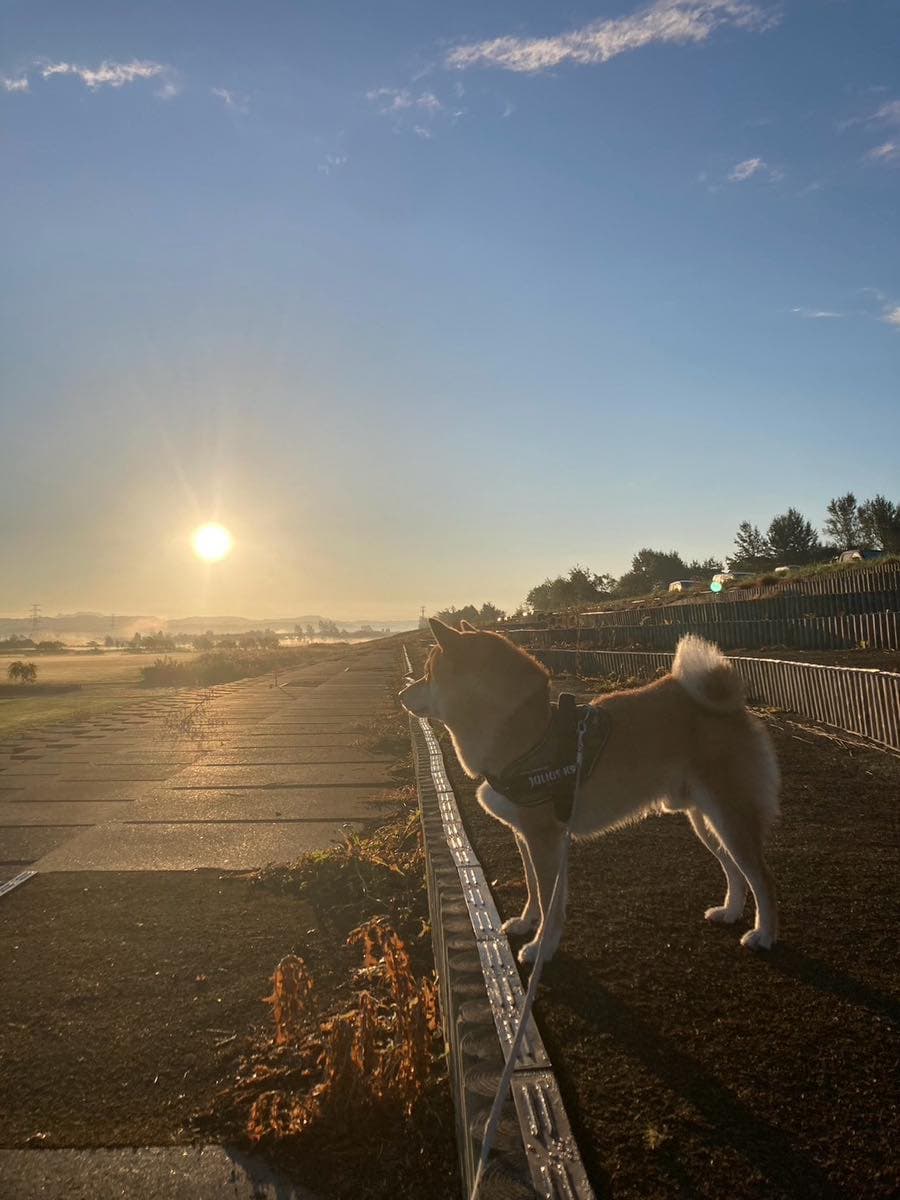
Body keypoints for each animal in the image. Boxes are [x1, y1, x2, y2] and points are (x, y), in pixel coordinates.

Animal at [400, 619, 782, 964]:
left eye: (428, 673)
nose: (401, 693)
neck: (525, 734)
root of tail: (727, 701)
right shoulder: (526, 836)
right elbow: (534, 889)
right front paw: (526, 922)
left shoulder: (544, 839)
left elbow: (549, 902)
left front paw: (541, 949)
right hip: (704, 820)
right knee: (734, 869)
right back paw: (730, 911)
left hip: (729, 815)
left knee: (762, 877)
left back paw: (763, 934)